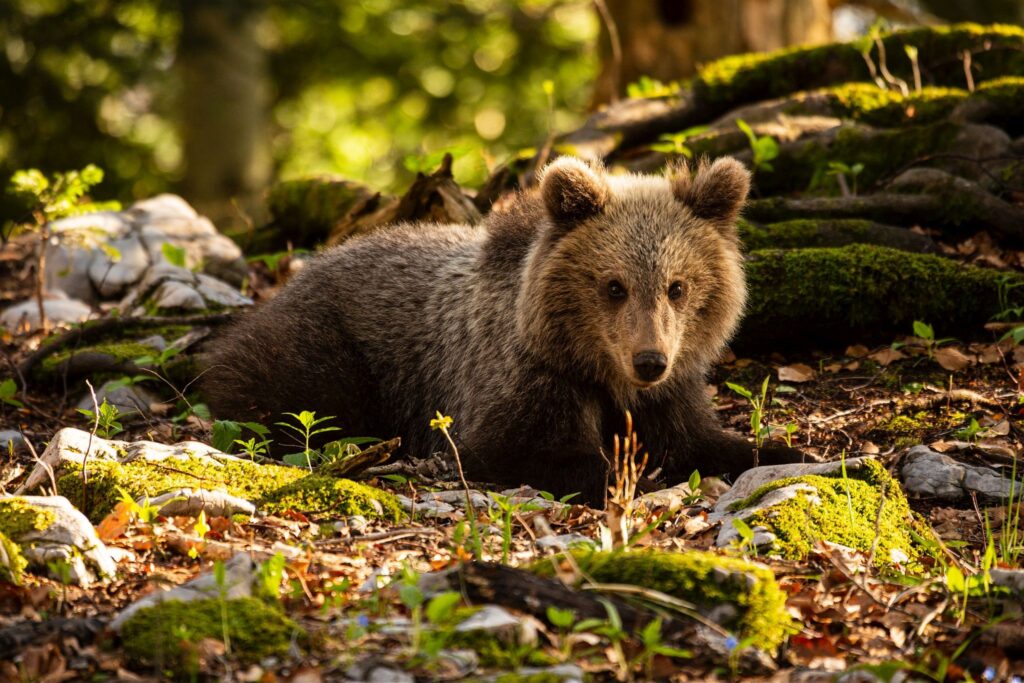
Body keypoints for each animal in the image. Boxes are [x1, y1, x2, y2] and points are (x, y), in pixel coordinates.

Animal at [199, 157, 802, 505]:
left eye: (678, 286)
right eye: (614, 285)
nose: (650, 360)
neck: (598, 369)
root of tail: (304, 271)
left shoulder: (669, 393)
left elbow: (701, 439)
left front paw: (783, 450)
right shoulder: (522, 376)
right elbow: (517, 445)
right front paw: (619, 473)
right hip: (334, 349)